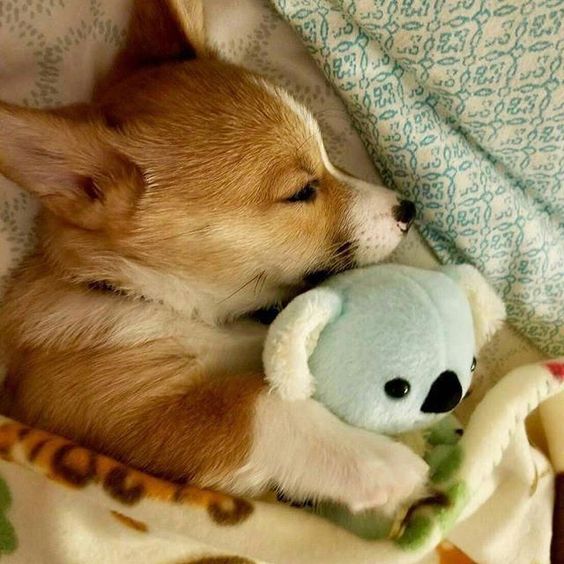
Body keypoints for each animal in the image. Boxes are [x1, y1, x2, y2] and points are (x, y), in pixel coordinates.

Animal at [0, 0, 424, 512]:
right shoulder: (125, 416)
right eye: (302, 191)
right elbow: (259, 404)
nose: (408, 210)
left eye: (328, 153)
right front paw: (376, 460)